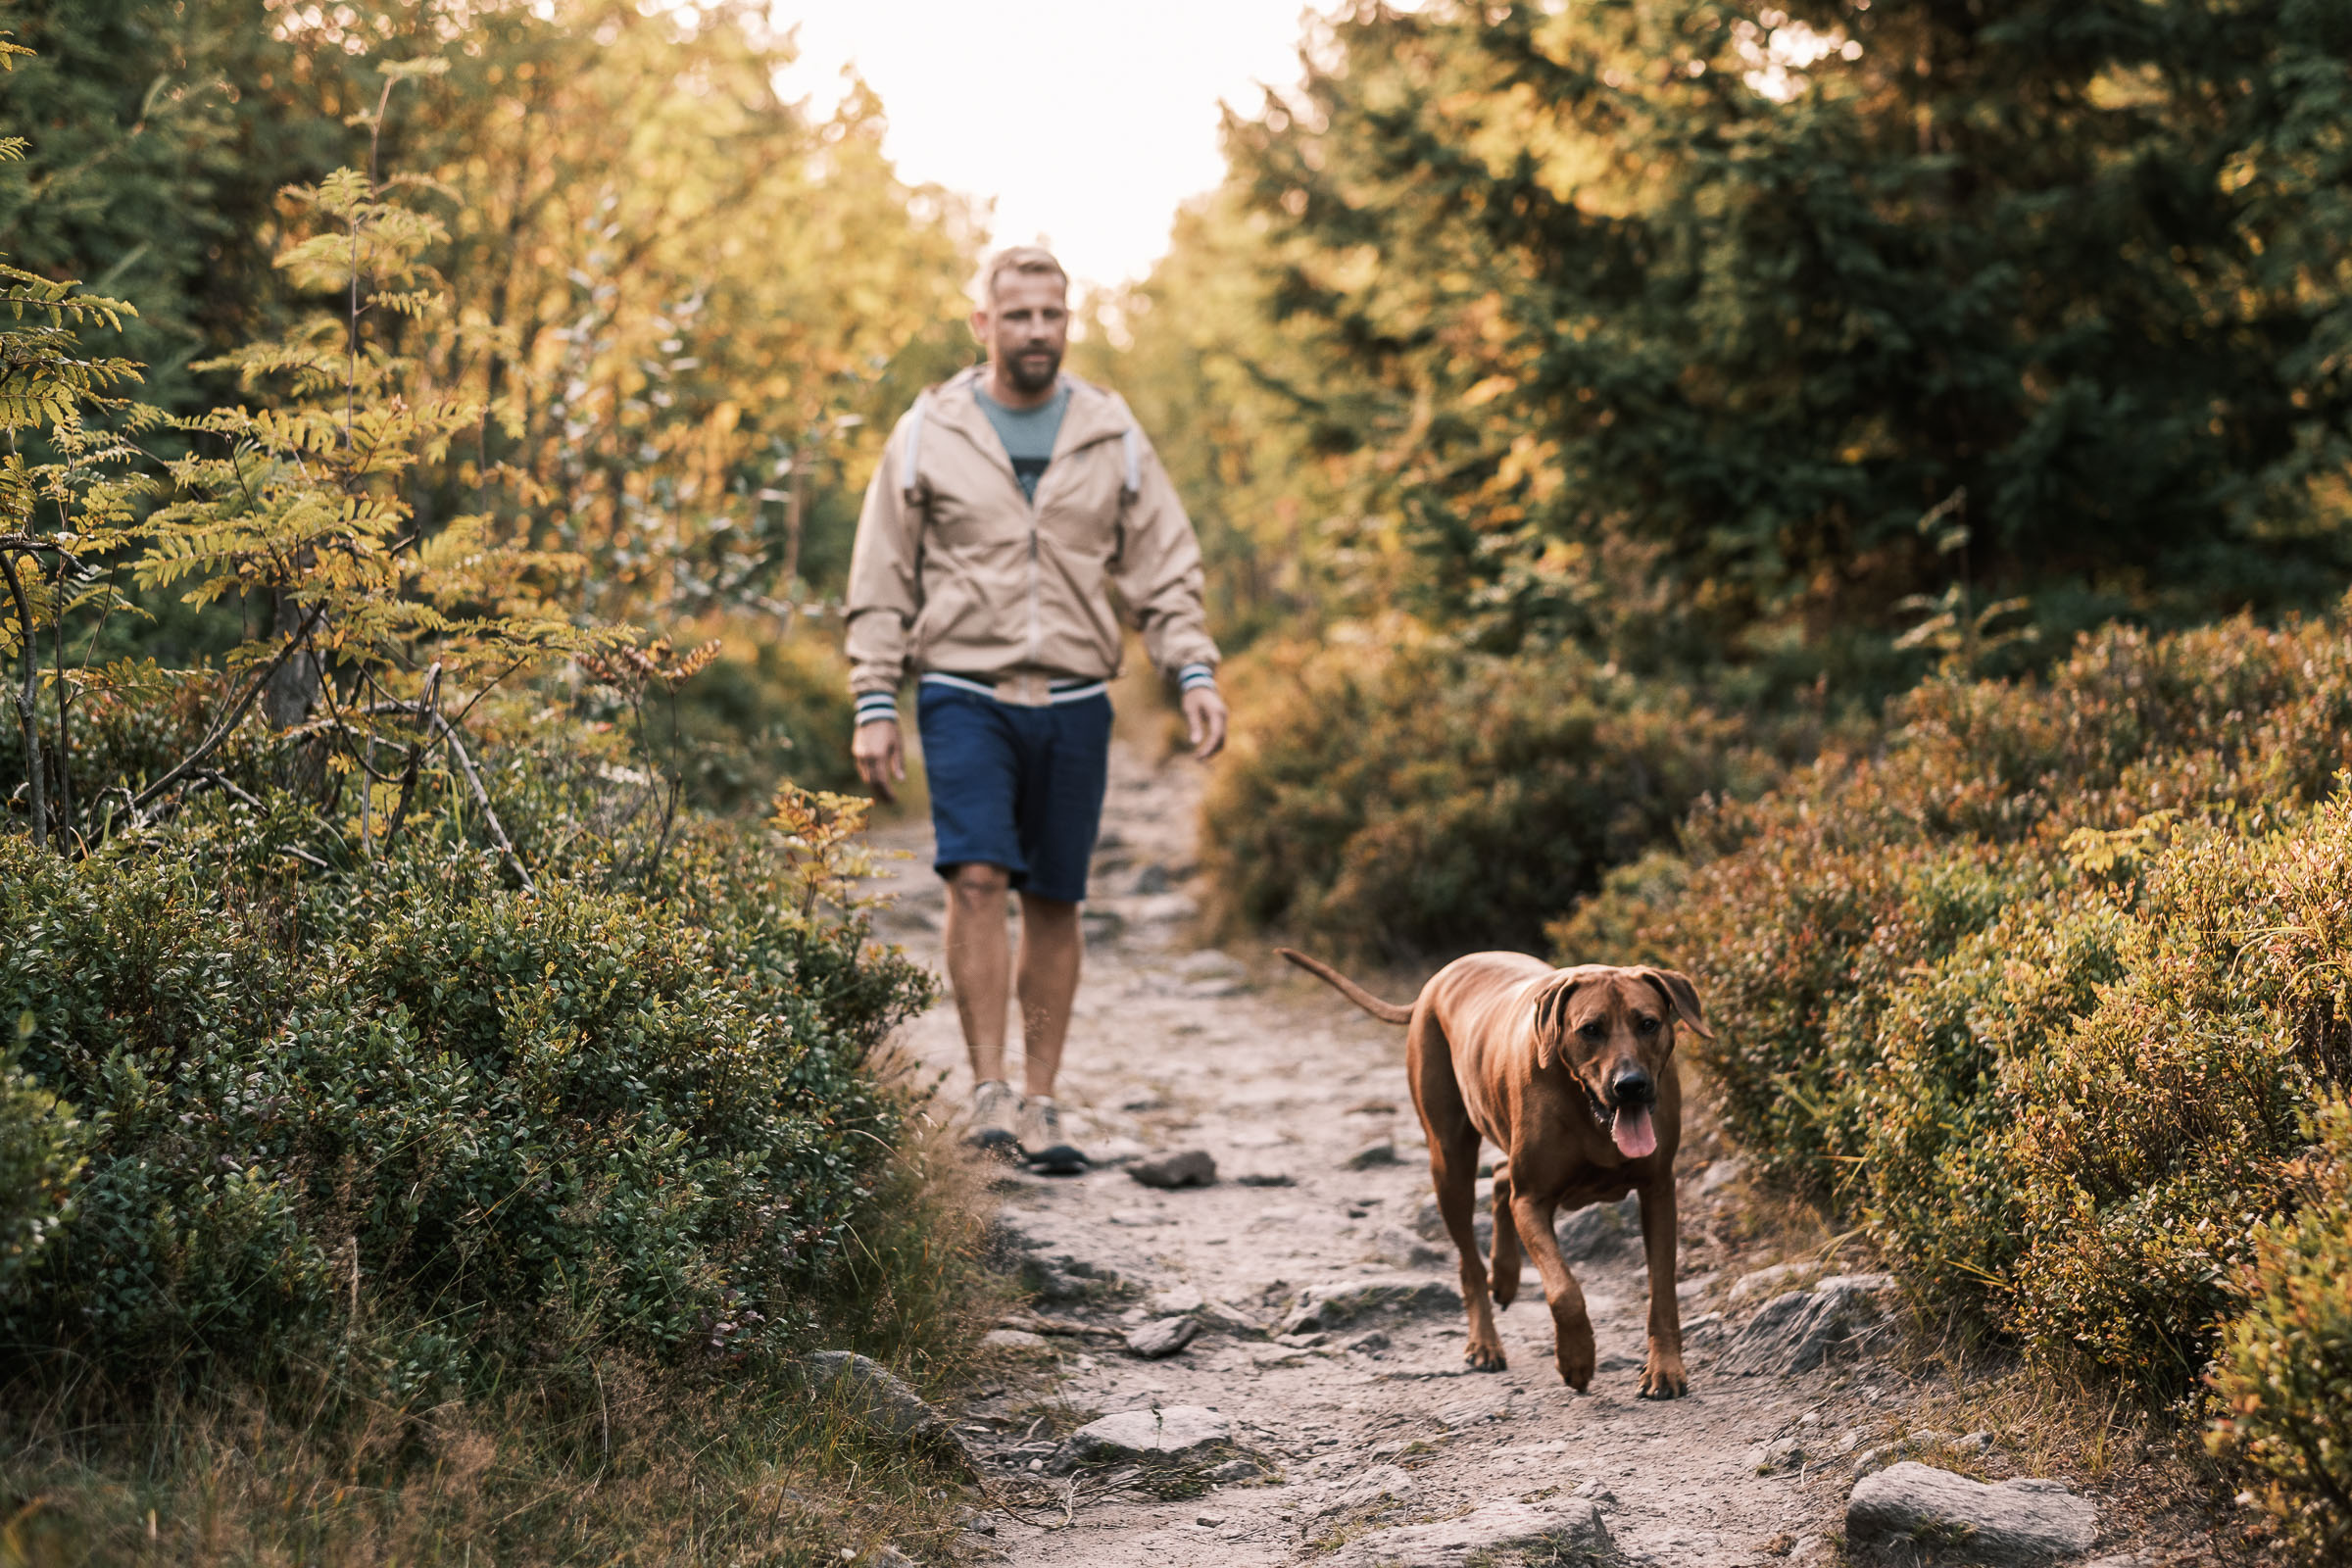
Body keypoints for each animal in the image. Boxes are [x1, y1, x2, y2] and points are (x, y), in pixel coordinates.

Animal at [1289, 945, 1712, 1400]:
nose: (1630, 1085)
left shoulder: (1658, 1190)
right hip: (1449, 1161)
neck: (1588, 1110)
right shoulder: (1532, 1200)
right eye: (1590, 1030)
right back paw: (1485, 1340)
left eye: (1648, 1023)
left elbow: (1662, 1290)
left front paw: (1665, 1369)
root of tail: (1434, 983)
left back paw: (1506, 1274)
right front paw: (1576, 1359)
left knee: (1498, 1174)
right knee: (1470, 1259)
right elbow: (1564, 1290)